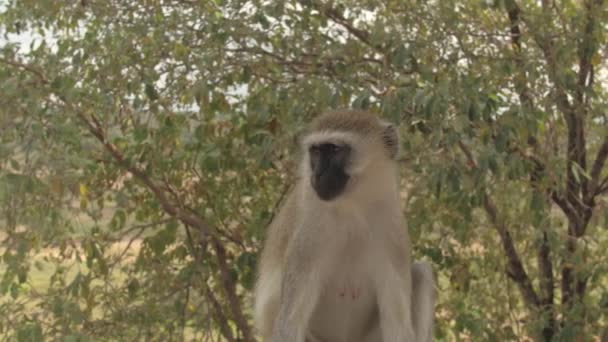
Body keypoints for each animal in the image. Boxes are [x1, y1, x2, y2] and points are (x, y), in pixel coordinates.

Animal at [254, 110, 434, 342]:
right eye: (315, 152)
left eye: (334, 150)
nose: (317, 175)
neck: (353, 206)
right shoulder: (308, 234)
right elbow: (289, 324)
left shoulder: (392, 228)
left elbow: (398, 326)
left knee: (421, 273)